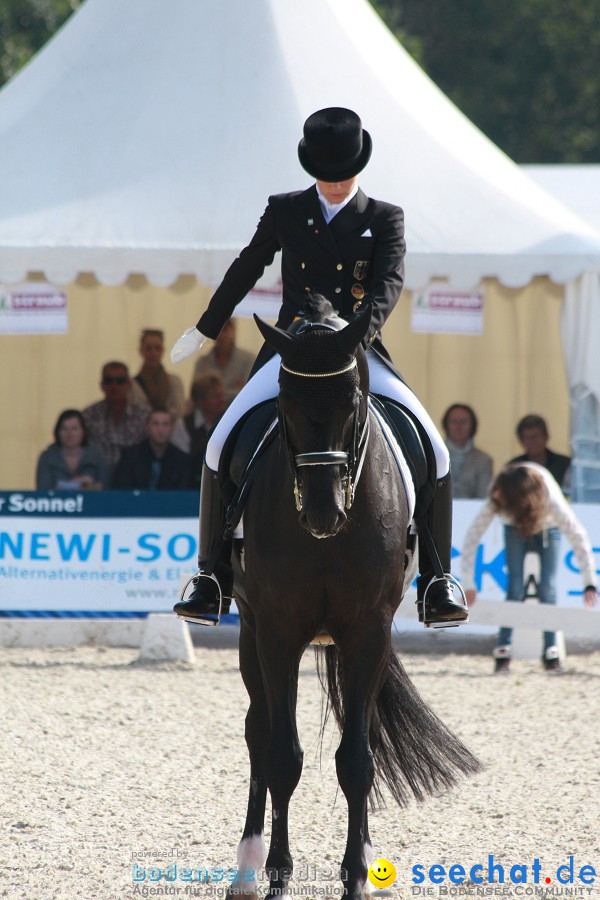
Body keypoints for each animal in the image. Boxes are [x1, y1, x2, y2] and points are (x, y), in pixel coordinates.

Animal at [225, 298, 478, 900]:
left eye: (353, 402)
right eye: (285, 404)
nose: (323, 513)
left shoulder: (367, 631)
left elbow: (358, 761)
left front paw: (357, 877)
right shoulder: (277, 630)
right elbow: (282, 755)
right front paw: (278, 875)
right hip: (249, 630)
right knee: (258, 730)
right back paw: (246, 868)